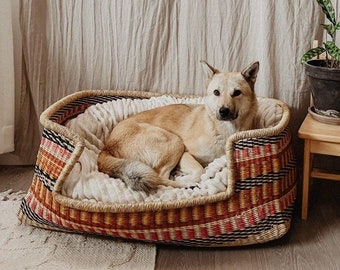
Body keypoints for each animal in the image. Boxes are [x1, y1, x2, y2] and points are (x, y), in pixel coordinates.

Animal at [97, 60, 258, 192]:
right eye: (216, 92)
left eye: (237, 93)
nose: (223, 111)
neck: (223, 129)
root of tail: (107, 147)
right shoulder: (186, 153)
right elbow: (200, 171)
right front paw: (188, 179)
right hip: (175, 141)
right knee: (160, 177)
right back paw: (185, 184)